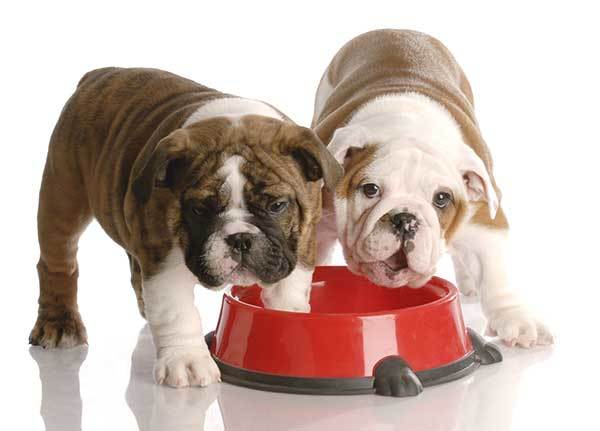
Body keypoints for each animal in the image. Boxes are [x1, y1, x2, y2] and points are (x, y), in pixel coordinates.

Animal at [30, 67, 342, 388]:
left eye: (277, 205)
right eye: (200, 210)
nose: (240, 238)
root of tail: (98, 74)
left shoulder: (300, 246)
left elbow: (287, 291)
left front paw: (288, 324)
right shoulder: (162, 259)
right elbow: (176, 311)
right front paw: (187, 360)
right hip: (63, 196)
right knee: (57, 263)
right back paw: (59, 325)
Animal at [314, 30, 552, 348]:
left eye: (441, 199)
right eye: (370, 189)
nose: (405, 219)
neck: (408, 127)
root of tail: (394, 30)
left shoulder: (485, 215)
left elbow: (494, 271)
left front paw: (516, 318)